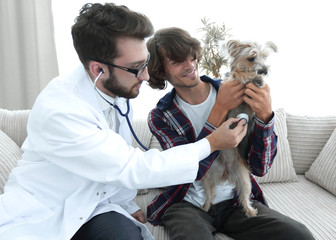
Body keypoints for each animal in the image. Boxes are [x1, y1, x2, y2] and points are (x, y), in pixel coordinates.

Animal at [201, 38, 276, 217]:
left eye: (264, 57)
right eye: (251, 58)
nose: (264, 71)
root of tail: (226, 172)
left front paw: (258, 80)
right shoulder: (230, 82)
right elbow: (238, 74)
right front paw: (248, 76)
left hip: (243, 180)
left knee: (243, 196)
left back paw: (250, 211)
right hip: (208, 175)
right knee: (209, 194)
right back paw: (205, 207)